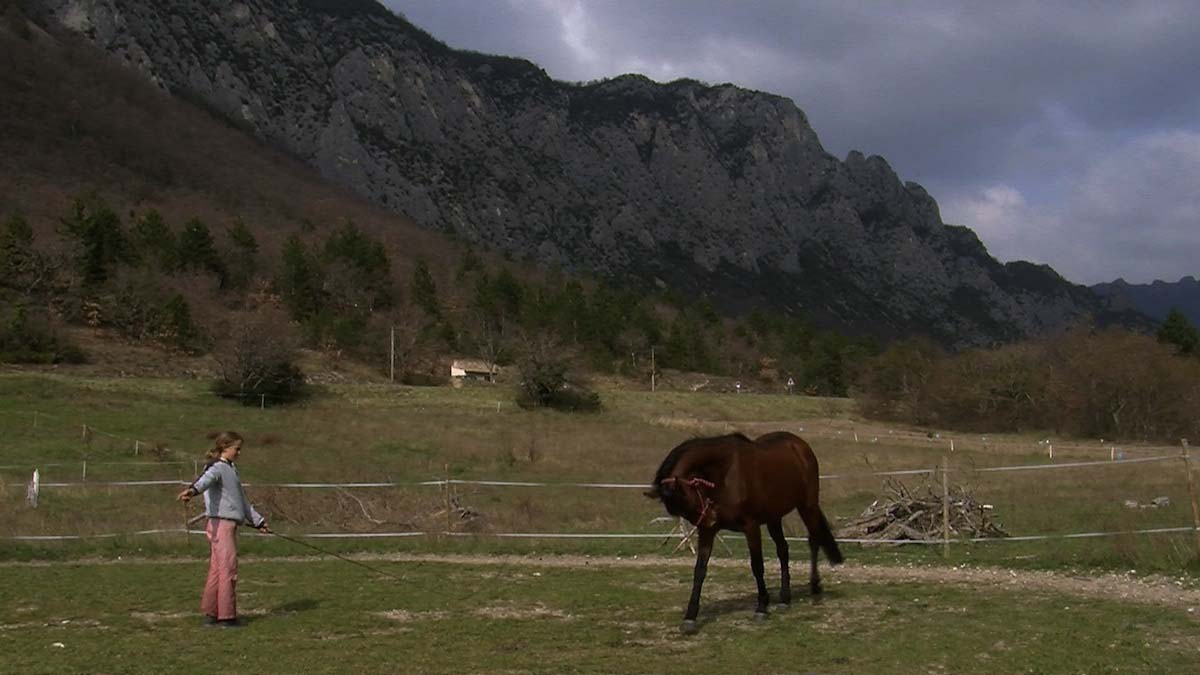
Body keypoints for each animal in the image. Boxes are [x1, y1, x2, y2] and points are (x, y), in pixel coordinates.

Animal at [648, 429, 844, 629]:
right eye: (678, 510)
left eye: (686, 498)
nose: (712, 518)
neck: (725, 473)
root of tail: (800, 445)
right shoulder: (707, 531)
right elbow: (700, 570)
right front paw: (690, 616)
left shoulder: (751, 526)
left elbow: (757, 566)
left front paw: (762, 607)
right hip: (774, 518)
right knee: (783, 550)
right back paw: (784, 598)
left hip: (807, 506)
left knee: (814, 540)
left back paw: (815, 587)